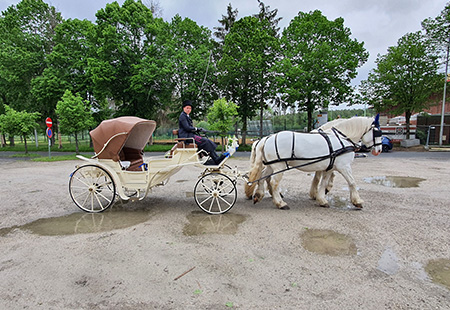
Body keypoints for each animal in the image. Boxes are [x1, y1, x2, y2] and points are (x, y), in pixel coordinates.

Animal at [244, 117, 382, 209]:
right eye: (378, 132)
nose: (379, 150)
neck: (342, 139)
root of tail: (266, 139)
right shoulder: (344, 166)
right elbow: (352, 182)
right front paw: (357, 201)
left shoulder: (329, 167)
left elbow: (323, 182)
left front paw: (321, 199)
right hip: (279, 166)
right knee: (273, 183)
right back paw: (280, 203)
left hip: (271, 165)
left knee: (263, 177)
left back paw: (259, 195)